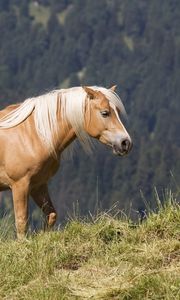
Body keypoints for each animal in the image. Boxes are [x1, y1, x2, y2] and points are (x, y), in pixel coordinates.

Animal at [0, 85, 132, 238]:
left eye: (117, 112)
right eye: (105, 113)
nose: (125, 143)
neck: (34, 133)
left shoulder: (38, 185)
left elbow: (51, 215)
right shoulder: (20, 185)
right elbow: (22, 223)